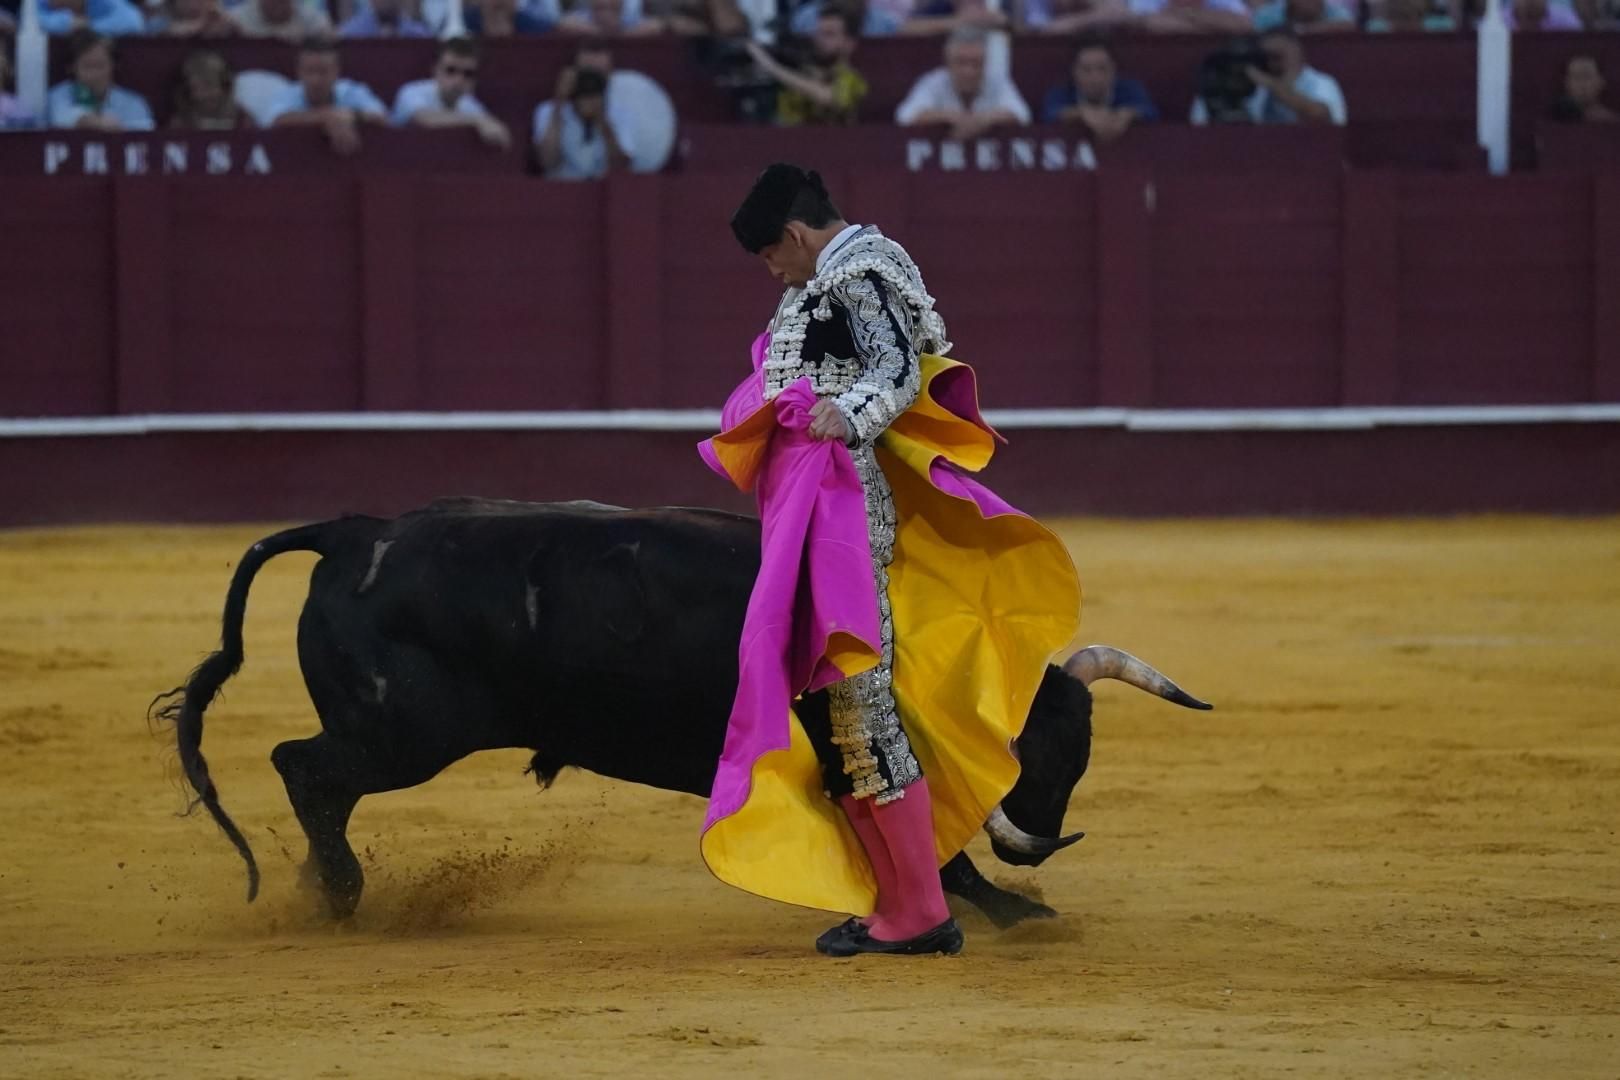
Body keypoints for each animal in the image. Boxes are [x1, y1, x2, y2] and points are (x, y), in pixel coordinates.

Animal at [152, 498, 1211, 932]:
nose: (1034, 846)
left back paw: (322, 889)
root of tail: (355, 532)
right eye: (1020, 744)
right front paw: (1011, 912)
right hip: (403, 734)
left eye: (1079, 748)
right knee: (303, 767)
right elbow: (935, 849)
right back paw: (339, 893)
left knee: (315, 778)